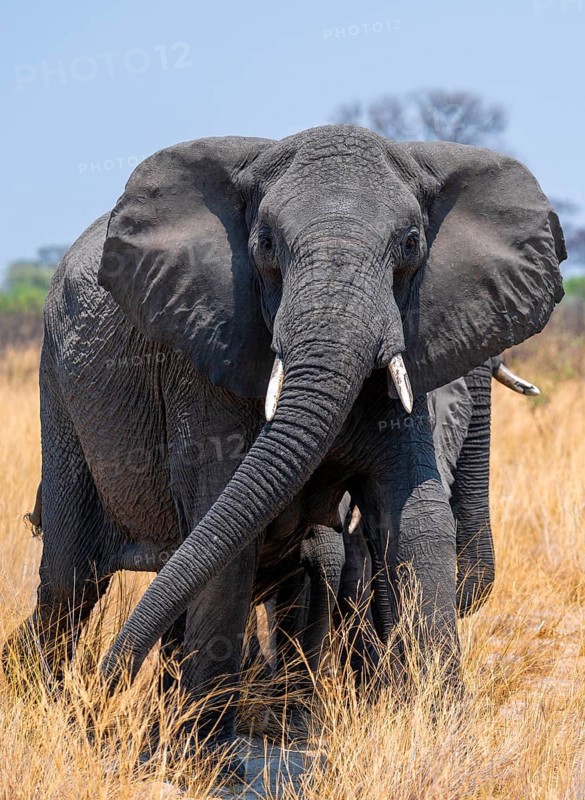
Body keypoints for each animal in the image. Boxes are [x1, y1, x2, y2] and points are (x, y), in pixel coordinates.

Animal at [4, 126, 565, 764]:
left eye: (411, 243)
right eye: (266, 244)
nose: (104, 691)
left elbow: (414, 521)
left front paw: (445, 741)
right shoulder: (209, 349)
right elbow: (225, 526)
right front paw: (204, 759)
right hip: (58, 386)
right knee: (70, 579)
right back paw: (46, 707)